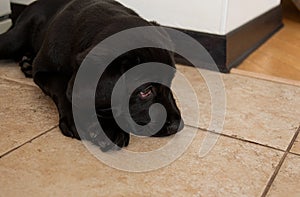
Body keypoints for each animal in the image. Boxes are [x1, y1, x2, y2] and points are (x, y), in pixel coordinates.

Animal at [0, 0, 183, 151]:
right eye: (145, 91)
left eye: (170, 82)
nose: (177, 125)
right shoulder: (44, 71)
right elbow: (63, 88)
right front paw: (100, 127)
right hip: (14, 40)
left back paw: (27, 63)